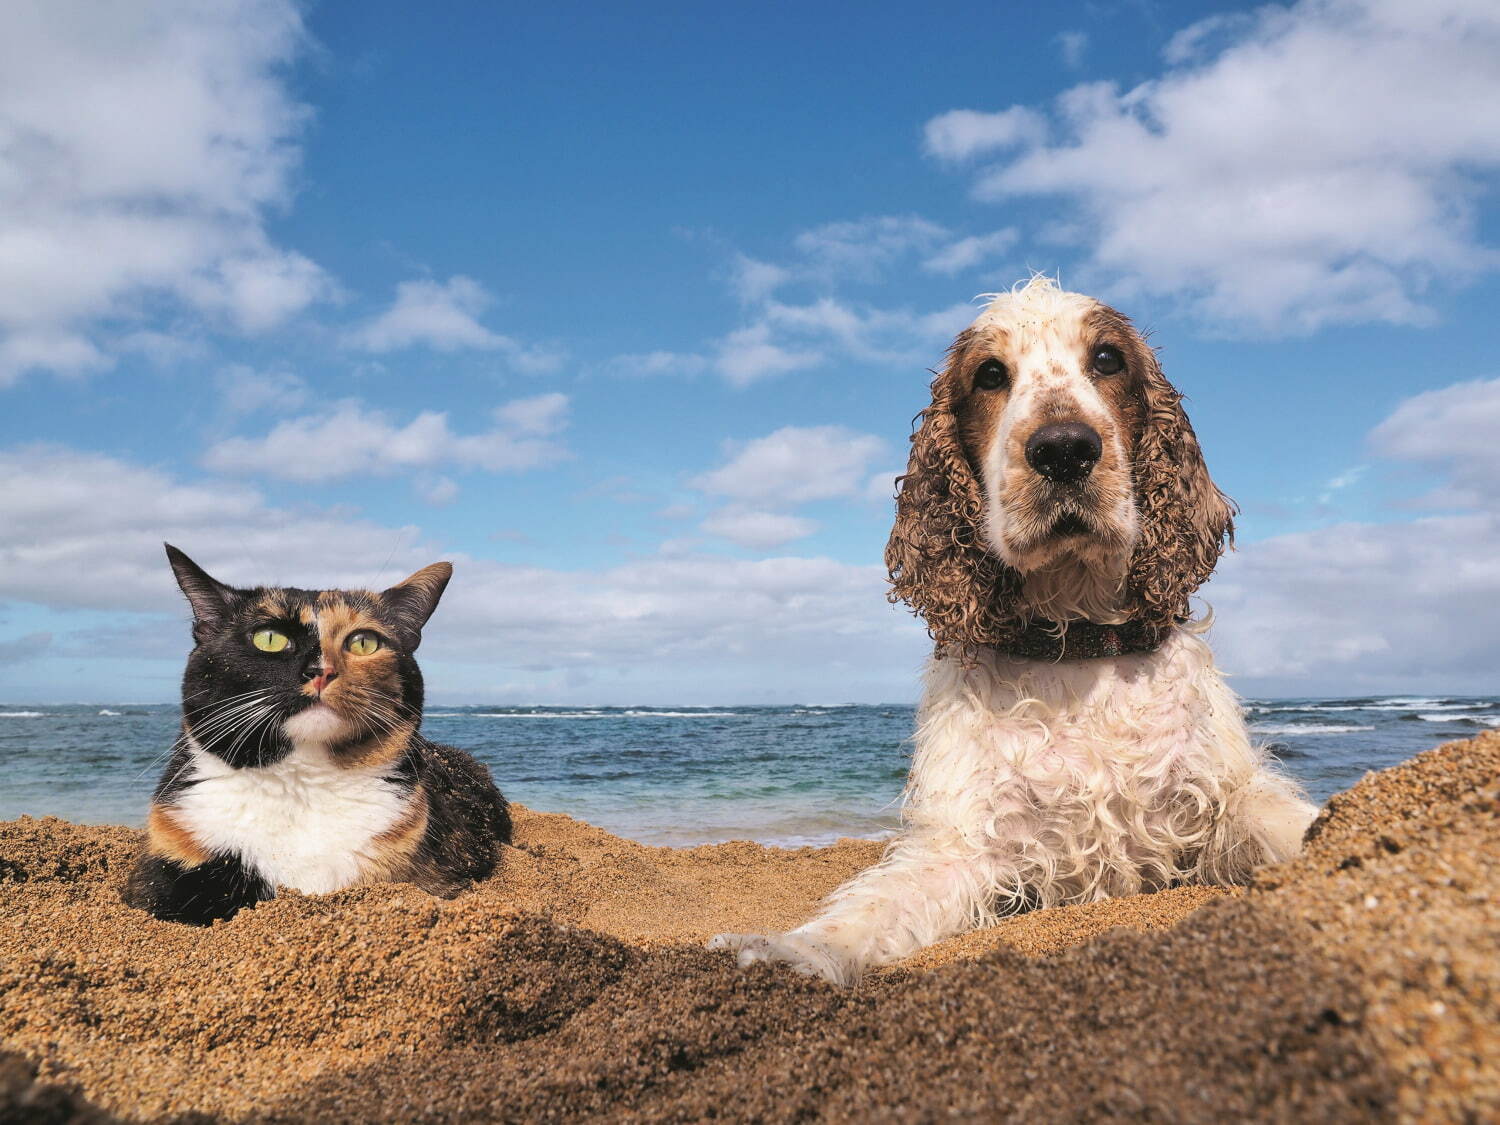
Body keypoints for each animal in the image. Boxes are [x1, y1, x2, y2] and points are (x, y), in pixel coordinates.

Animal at [714, 277, 1314, 984]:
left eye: (1108, 359)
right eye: (990, 375)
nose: (1064, 449)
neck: (1078, 646)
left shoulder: (1221, 797)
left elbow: (1291, 823)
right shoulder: (967, 841)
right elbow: (873, 907)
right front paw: (792, 952)